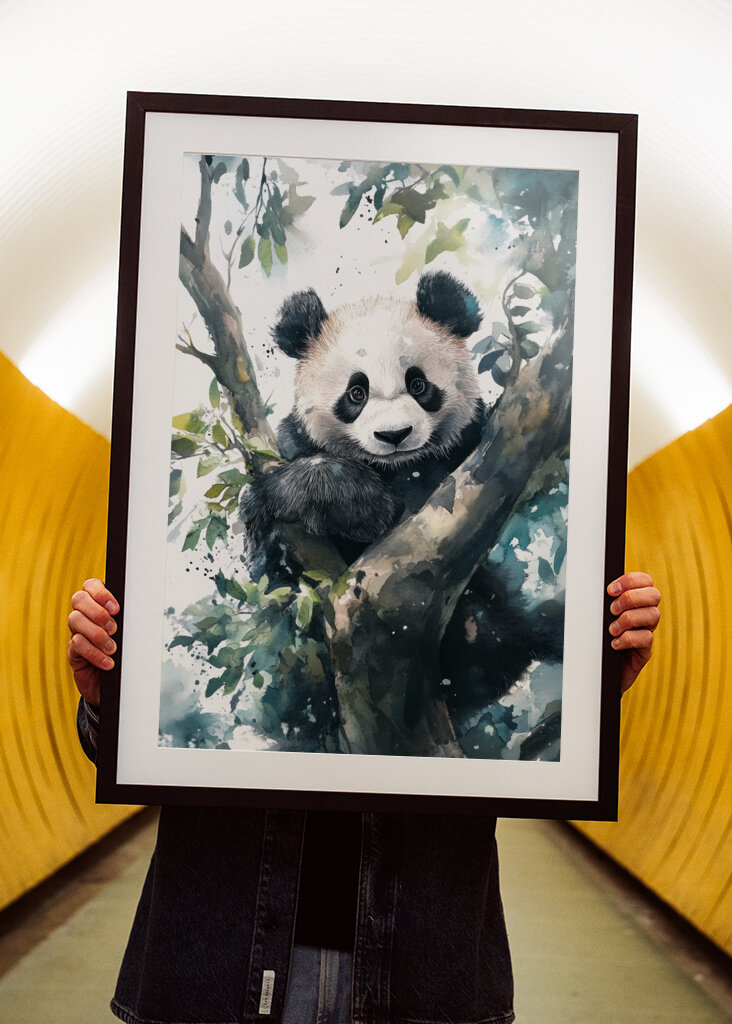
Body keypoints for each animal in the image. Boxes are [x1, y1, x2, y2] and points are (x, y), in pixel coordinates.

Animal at [240, 271, 563, 739]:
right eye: (356, 393)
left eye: (418, 384)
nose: (394, 435)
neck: (393, 466)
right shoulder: (293, 445)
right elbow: (270, 563)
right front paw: (322, 495)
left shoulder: (466, 458)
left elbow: (409, 513)